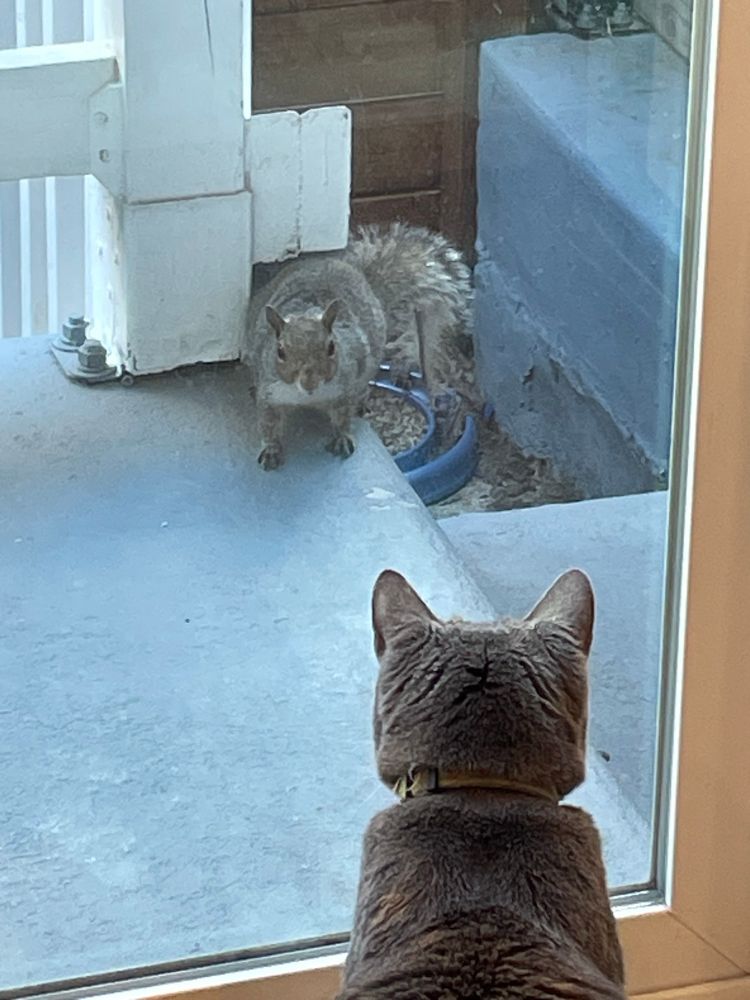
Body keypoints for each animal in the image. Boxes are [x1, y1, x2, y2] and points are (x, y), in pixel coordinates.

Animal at [243, 223, 473, 470]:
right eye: (280, 351)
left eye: (331, 347)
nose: (309, 383)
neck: (306, 398)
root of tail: (358, 273)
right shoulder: (270, 394)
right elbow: (269, 424)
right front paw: (271, 449)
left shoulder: (344, 388)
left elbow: (343, 418)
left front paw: (343, 438)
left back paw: (362, 404)